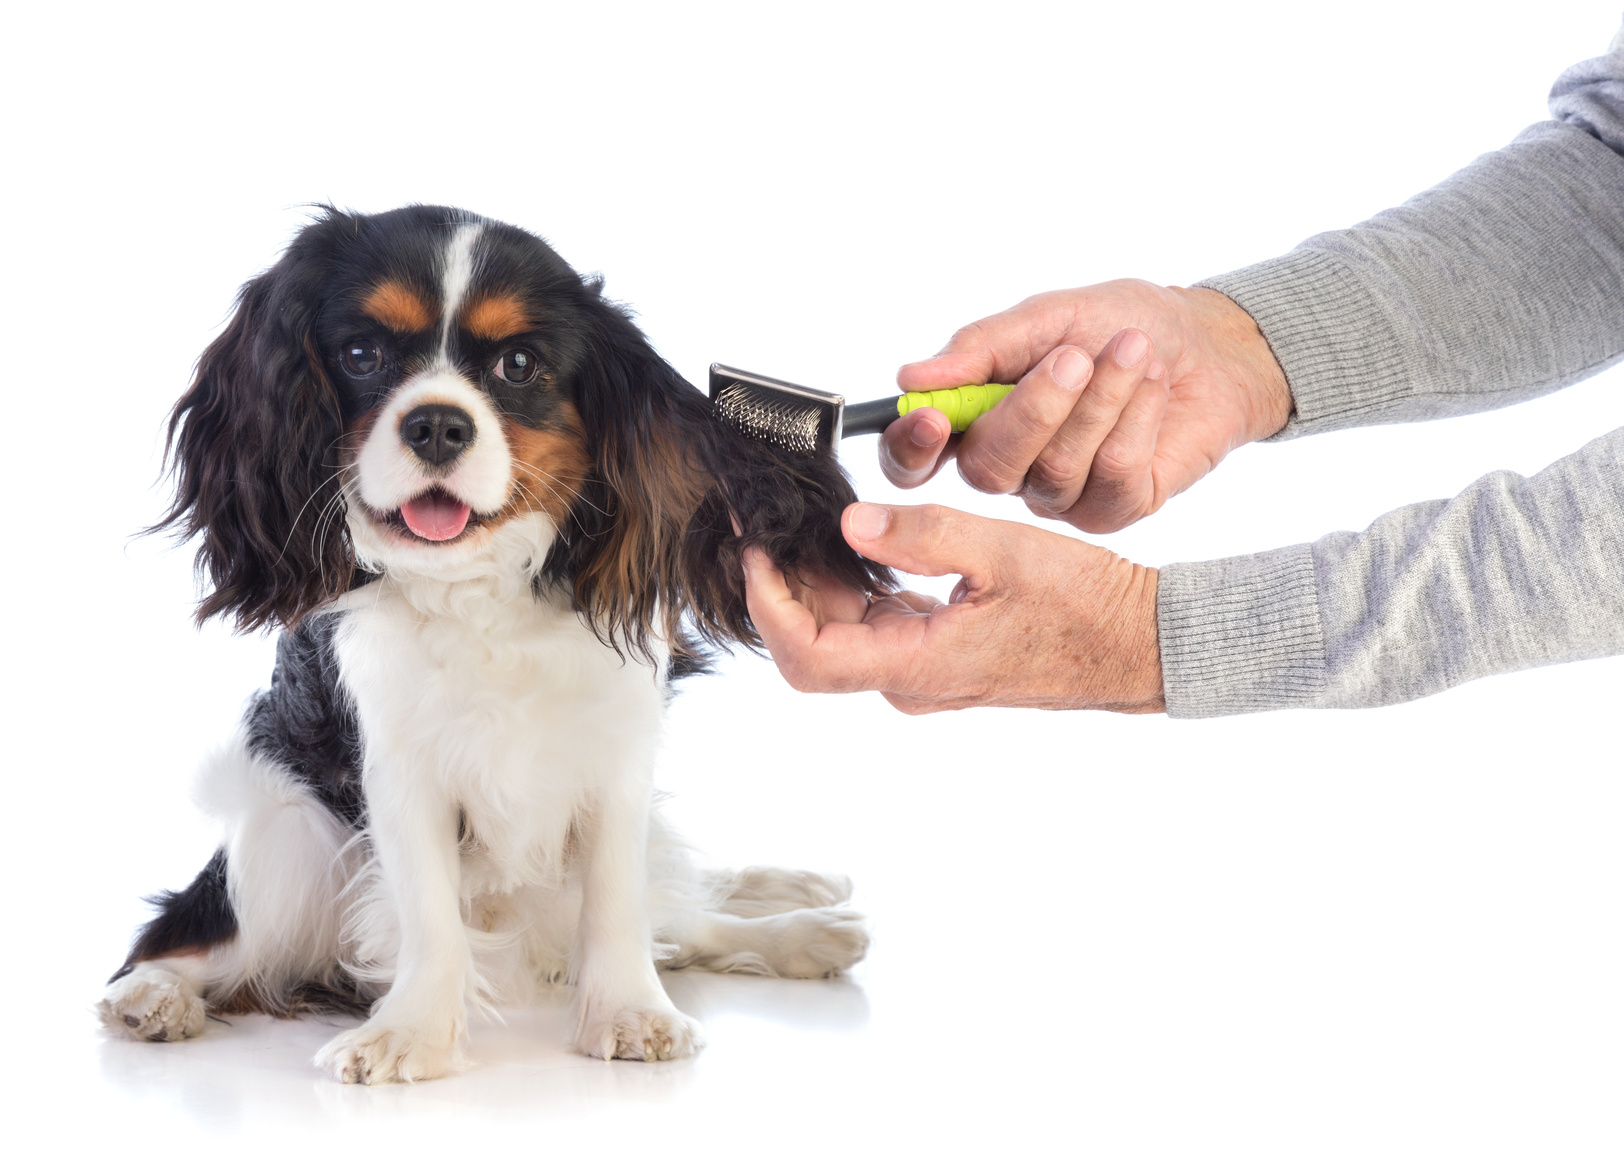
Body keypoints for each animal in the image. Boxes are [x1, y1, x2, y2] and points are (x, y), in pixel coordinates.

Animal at [96, 203, 896, 1085]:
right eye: (362, 355)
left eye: (518, 366)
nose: (437, 424)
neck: (478, 585)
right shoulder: (398, 769)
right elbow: (429, 912)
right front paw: (411, 1033)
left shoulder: (617, 752)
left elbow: (618, 899)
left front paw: (631, 1012)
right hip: (292, 840)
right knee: (185, 934)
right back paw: (152, 997)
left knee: (684, 914)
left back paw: (799, 923)